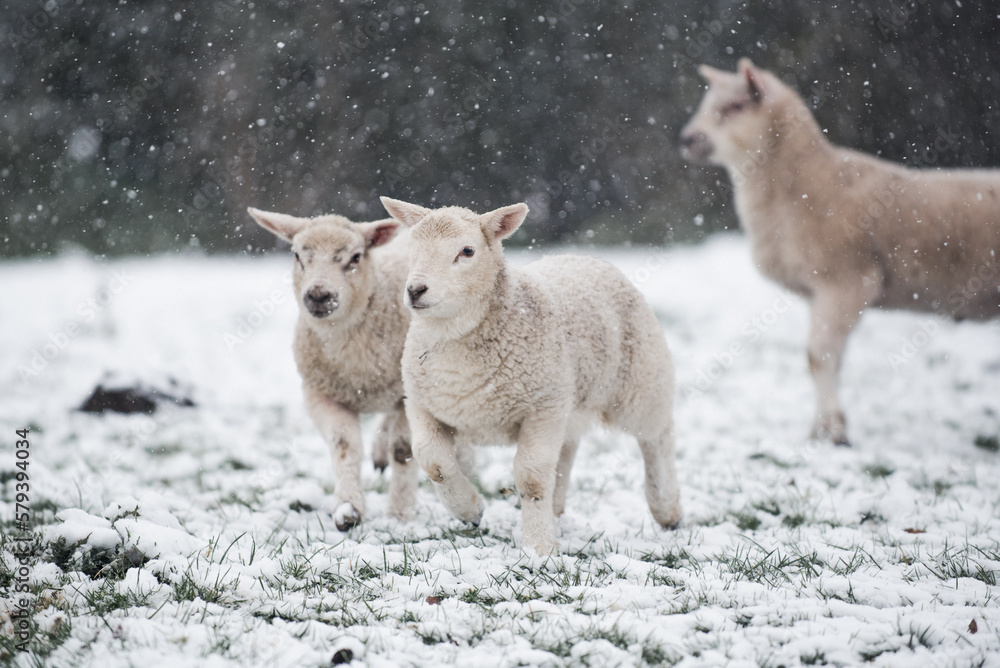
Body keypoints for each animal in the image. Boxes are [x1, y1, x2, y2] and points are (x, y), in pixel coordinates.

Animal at [247, 207, 419, 529]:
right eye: (297, 255)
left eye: (355, 257)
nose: (318, 295)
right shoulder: (321, 395)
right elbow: (344, 446)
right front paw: (348, 510)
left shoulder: (409, 396)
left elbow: (403, 450)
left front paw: (400, 515)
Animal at [379, 197, 681, 555]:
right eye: (412, 246)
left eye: (467, 251)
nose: (415, 290)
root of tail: (582, 256)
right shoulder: (422, 404)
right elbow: (433, 462)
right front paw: (469, 510)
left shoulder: (541, 408)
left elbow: (532, 478)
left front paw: (539, 548)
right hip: (568, 403)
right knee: (566, 452)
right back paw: (557, 511)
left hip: (640, 383)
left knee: (657, 435)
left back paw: (667, 508)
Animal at [679, 58, 1000, 446]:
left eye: (735, 106)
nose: (687, 139)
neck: (801, 184)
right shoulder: (822, 294)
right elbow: (830, 360)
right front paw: (820, 429)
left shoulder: (846, 282)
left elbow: (819, 357)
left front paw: (834, 432)